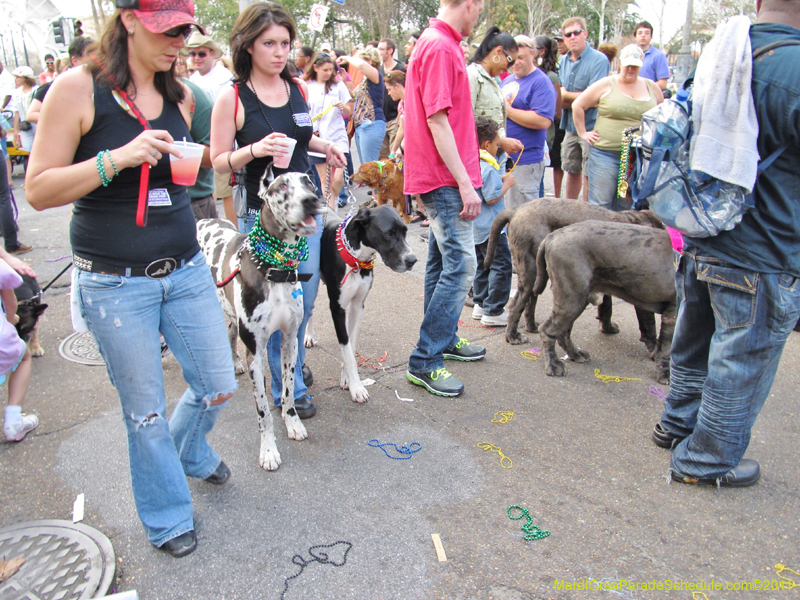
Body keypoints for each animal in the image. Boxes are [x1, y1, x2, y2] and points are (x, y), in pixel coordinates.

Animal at [484, 198, 664, 344]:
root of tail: (516, 209)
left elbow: (607, 307)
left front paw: (607, 328)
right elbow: (649, 323)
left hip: (538, 272)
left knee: (530, 301)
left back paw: (532, 326)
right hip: (530, 269)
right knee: (517, 304)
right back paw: (512, 336)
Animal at [532, 223, 676, 386]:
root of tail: (552, 236)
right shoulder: (674, 313)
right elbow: (667, 348)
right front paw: (665, 373)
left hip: (578, 299)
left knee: (563, 332)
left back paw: (575, 354)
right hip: (571, 298)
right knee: (548, 330)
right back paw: (553, 365)